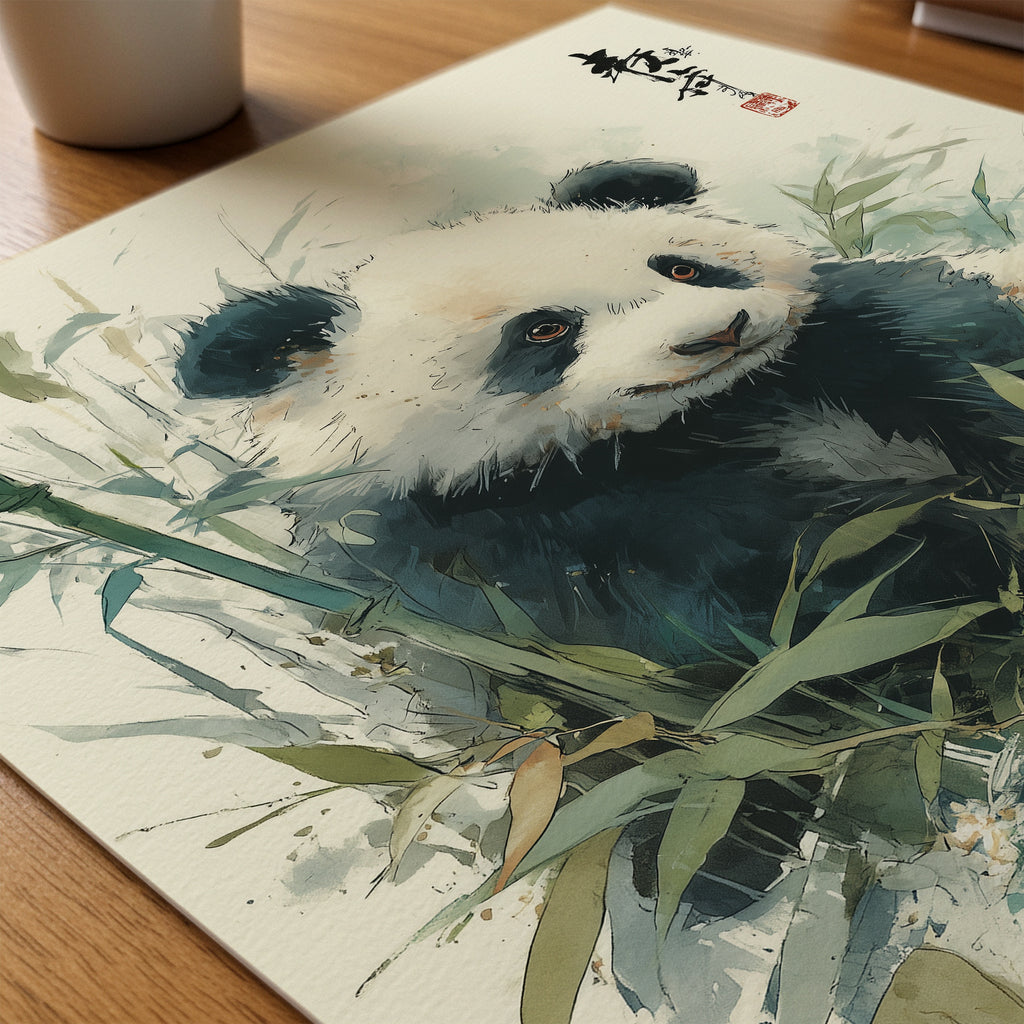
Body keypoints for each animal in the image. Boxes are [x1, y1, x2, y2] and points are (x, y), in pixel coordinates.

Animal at [176, 159, 1024, 670]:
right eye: (545, 331)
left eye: (682, 268)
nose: (720, 333)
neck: (696, 423)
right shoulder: (480, 544)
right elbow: (759, 606)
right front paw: (949, 542)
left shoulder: (846, 345)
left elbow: (955, 347)